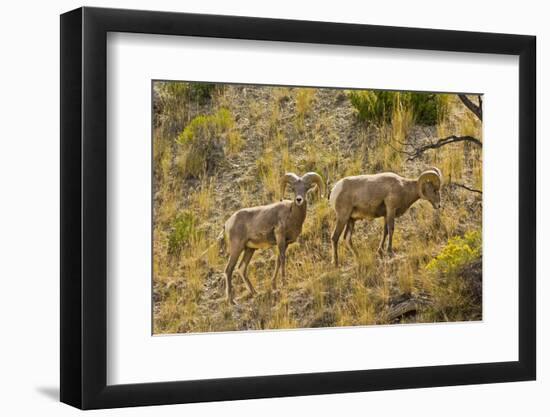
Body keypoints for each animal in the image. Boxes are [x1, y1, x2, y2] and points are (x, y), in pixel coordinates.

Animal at [221, 171, 324, 304]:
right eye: (293, 188)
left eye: (306, 188)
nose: (299, 199)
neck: (292, 215)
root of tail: (228, 223)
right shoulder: (280, 237)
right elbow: (283, 259)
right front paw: (284, 283)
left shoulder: (286, 243)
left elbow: (278, 260)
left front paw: (274, 286)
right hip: (237, 248)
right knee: (229, 270)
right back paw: (231, 300)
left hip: (249, 249)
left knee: (241, 268)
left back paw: (255, 293)